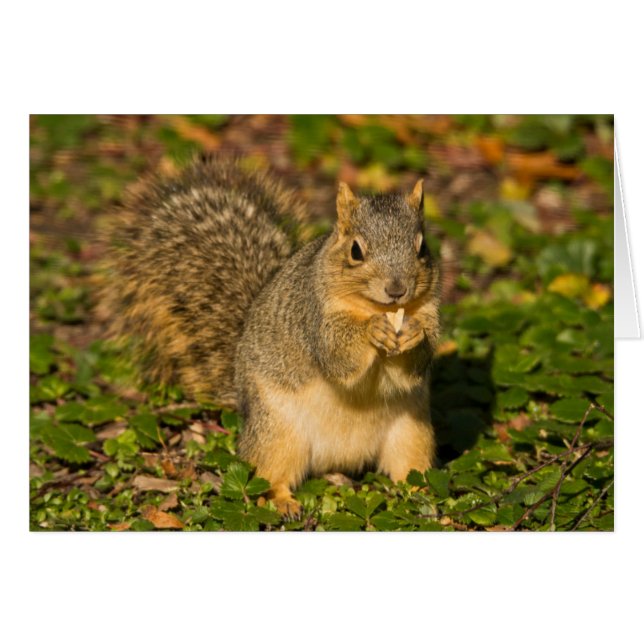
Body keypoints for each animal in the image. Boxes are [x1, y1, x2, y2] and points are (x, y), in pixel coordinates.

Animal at [103, 156, 441, 515]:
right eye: (355, 251)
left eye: (422, 248)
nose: (397, 289)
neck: (377, 307)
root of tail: (340, 458)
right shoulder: (313, 317)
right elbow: (338, 355)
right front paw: (372, 330)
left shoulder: (430, 311)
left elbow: (414, 365)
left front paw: (414, 335)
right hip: (276, 432)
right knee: (269, 474)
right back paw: (281, 501)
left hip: (412, 432)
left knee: (409, 467)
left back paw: (422, 492)